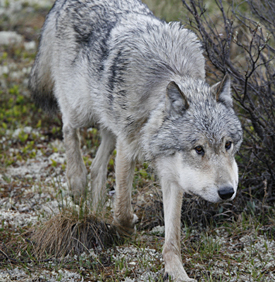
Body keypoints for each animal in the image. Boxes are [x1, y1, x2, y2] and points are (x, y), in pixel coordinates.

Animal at [28, 1, 244, 280]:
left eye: (228, 145)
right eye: (199, 149)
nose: (228, 192)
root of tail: (60, 4)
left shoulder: (172, 178)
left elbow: (172, 236)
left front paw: (176, 271)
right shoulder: (126, 151)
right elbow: (121, 208)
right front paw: (125, 228)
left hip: (108, 122)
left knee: (97, 166)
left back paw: (95, 208)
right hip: (82, 110)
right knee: (68, 128)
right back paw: (76, 180)